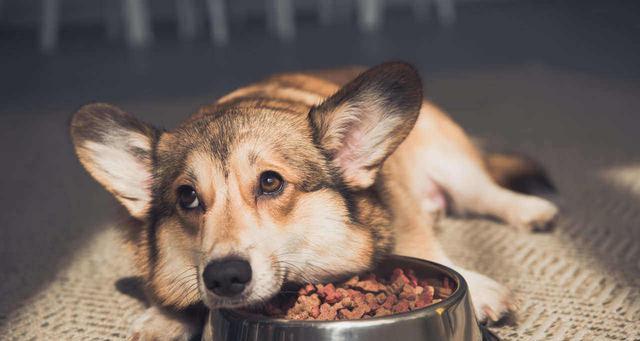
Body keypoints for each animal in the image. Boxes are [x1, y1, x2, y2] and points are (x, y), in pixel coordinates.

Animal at [70, 61, 556, 338]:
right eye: (187, 197)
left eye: (270, 183)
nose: (225, 278)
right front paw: (162, 321)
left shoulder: (403, 210)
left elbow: (426, 247)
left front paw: (483, 288)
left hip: (451, 161)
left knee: (487, 192)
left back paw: (530, 210)